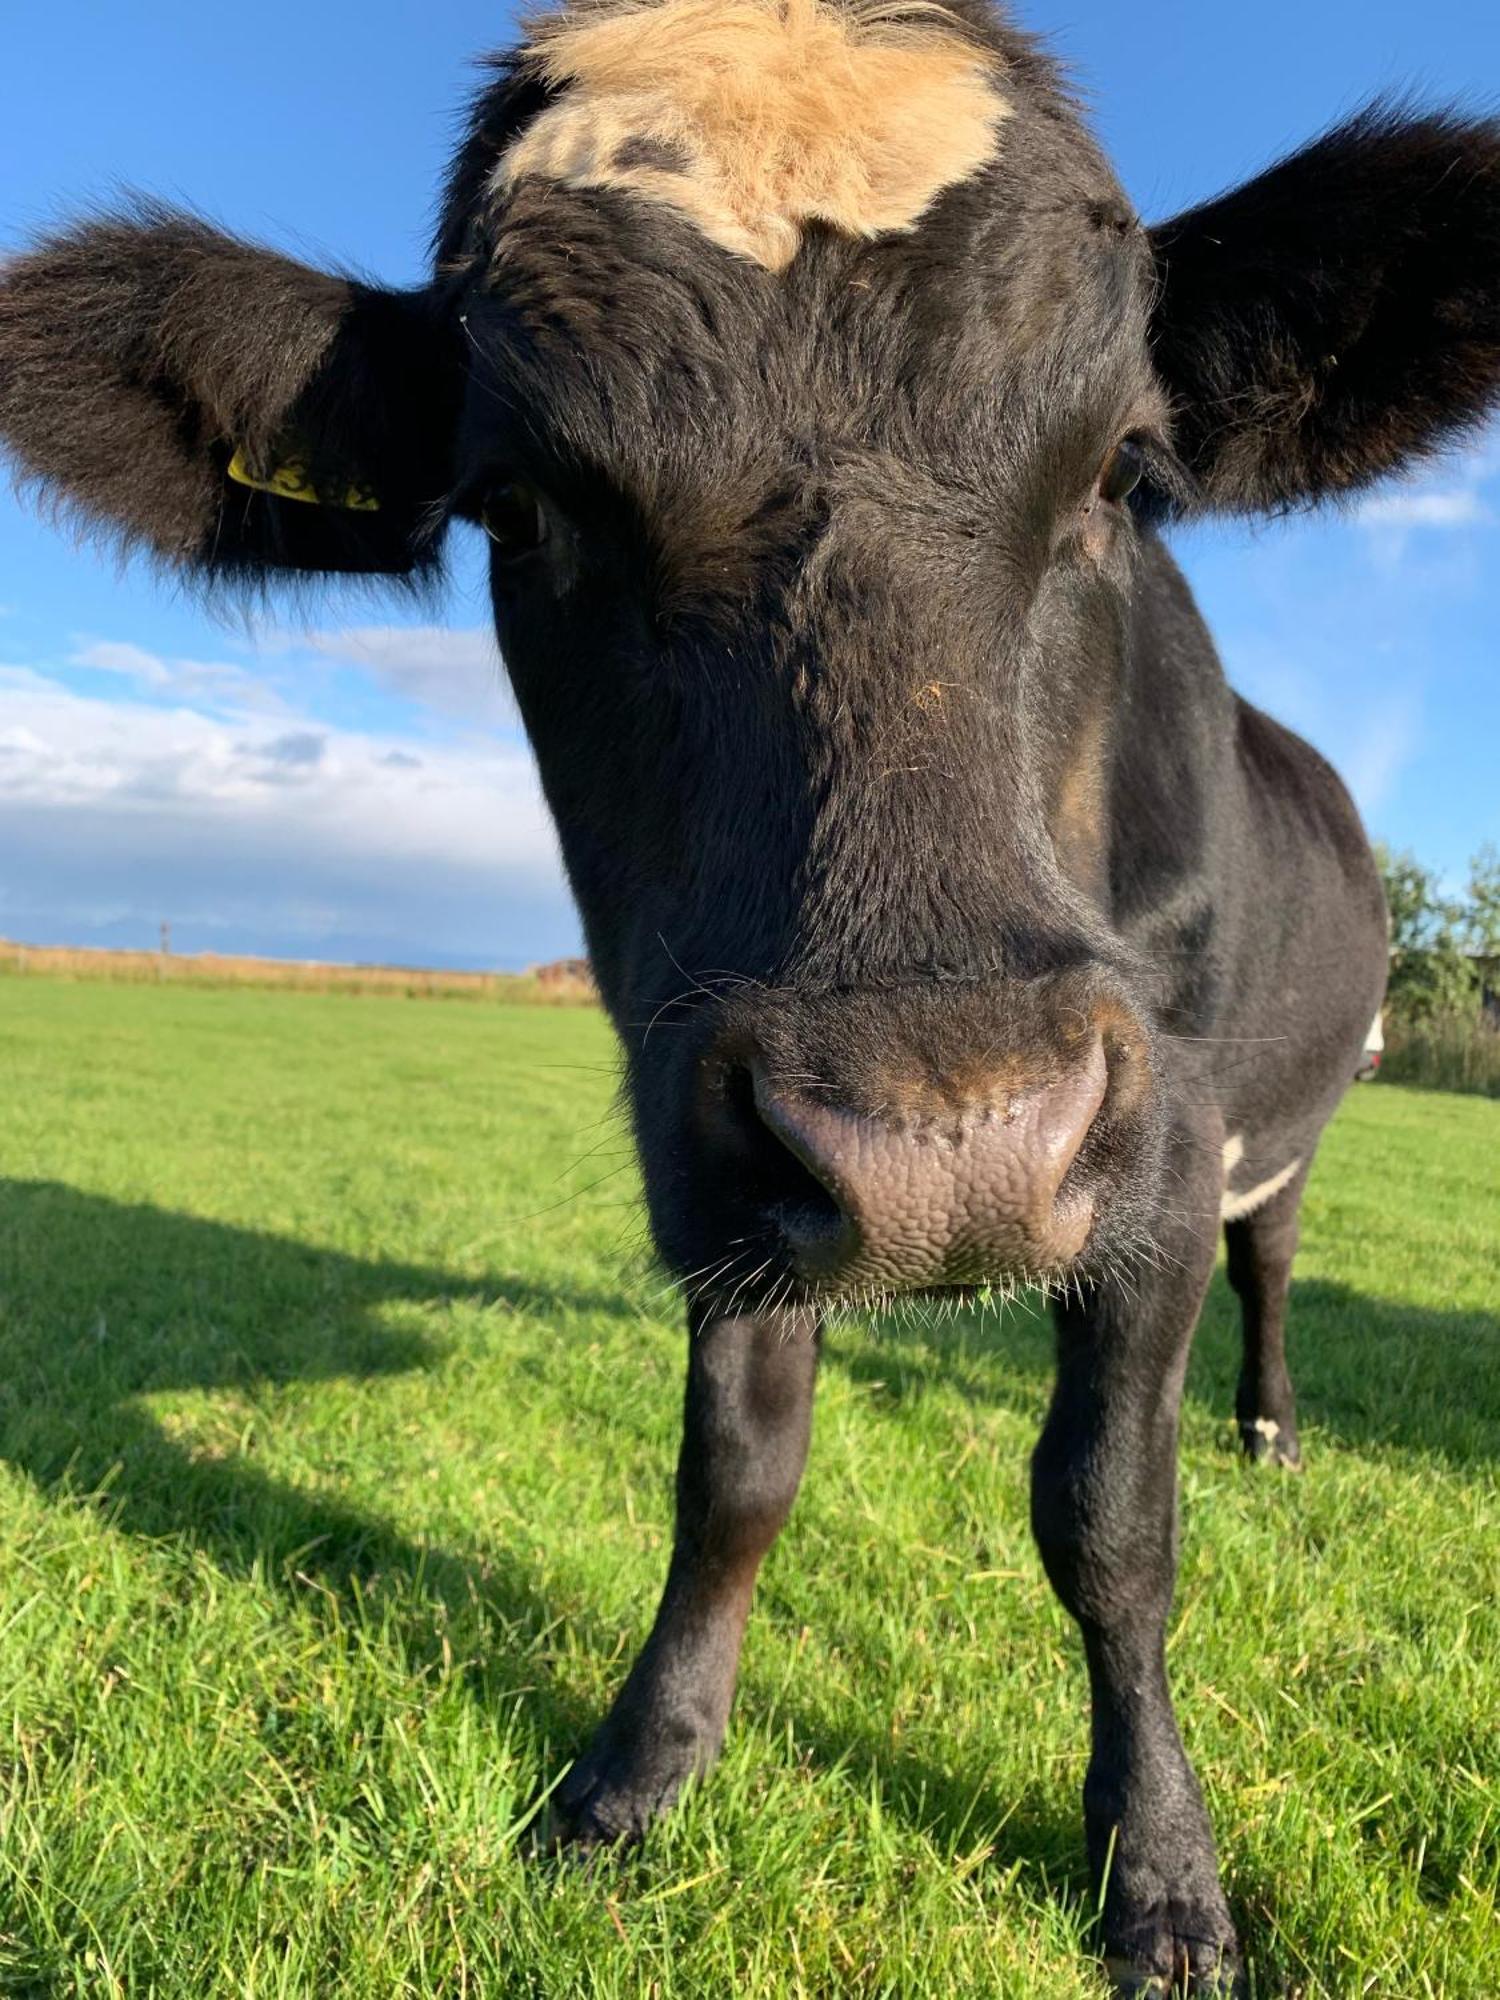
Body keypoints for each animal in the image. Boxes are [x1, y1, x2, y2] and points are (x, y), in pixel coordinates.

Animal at [2, 7, 1500, 1992]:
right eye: (518, 508)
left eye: (1120, 468)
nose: (952, 1148)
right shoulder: (721, 1154)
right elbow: (734, 1474)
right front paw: (634, 1775)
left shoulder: (1161, 1157)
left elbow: (1112, 1512)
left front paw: (1163, 1874)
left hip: (1285, 1134)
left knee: (1270, 1275)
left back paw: (1267, 1427)